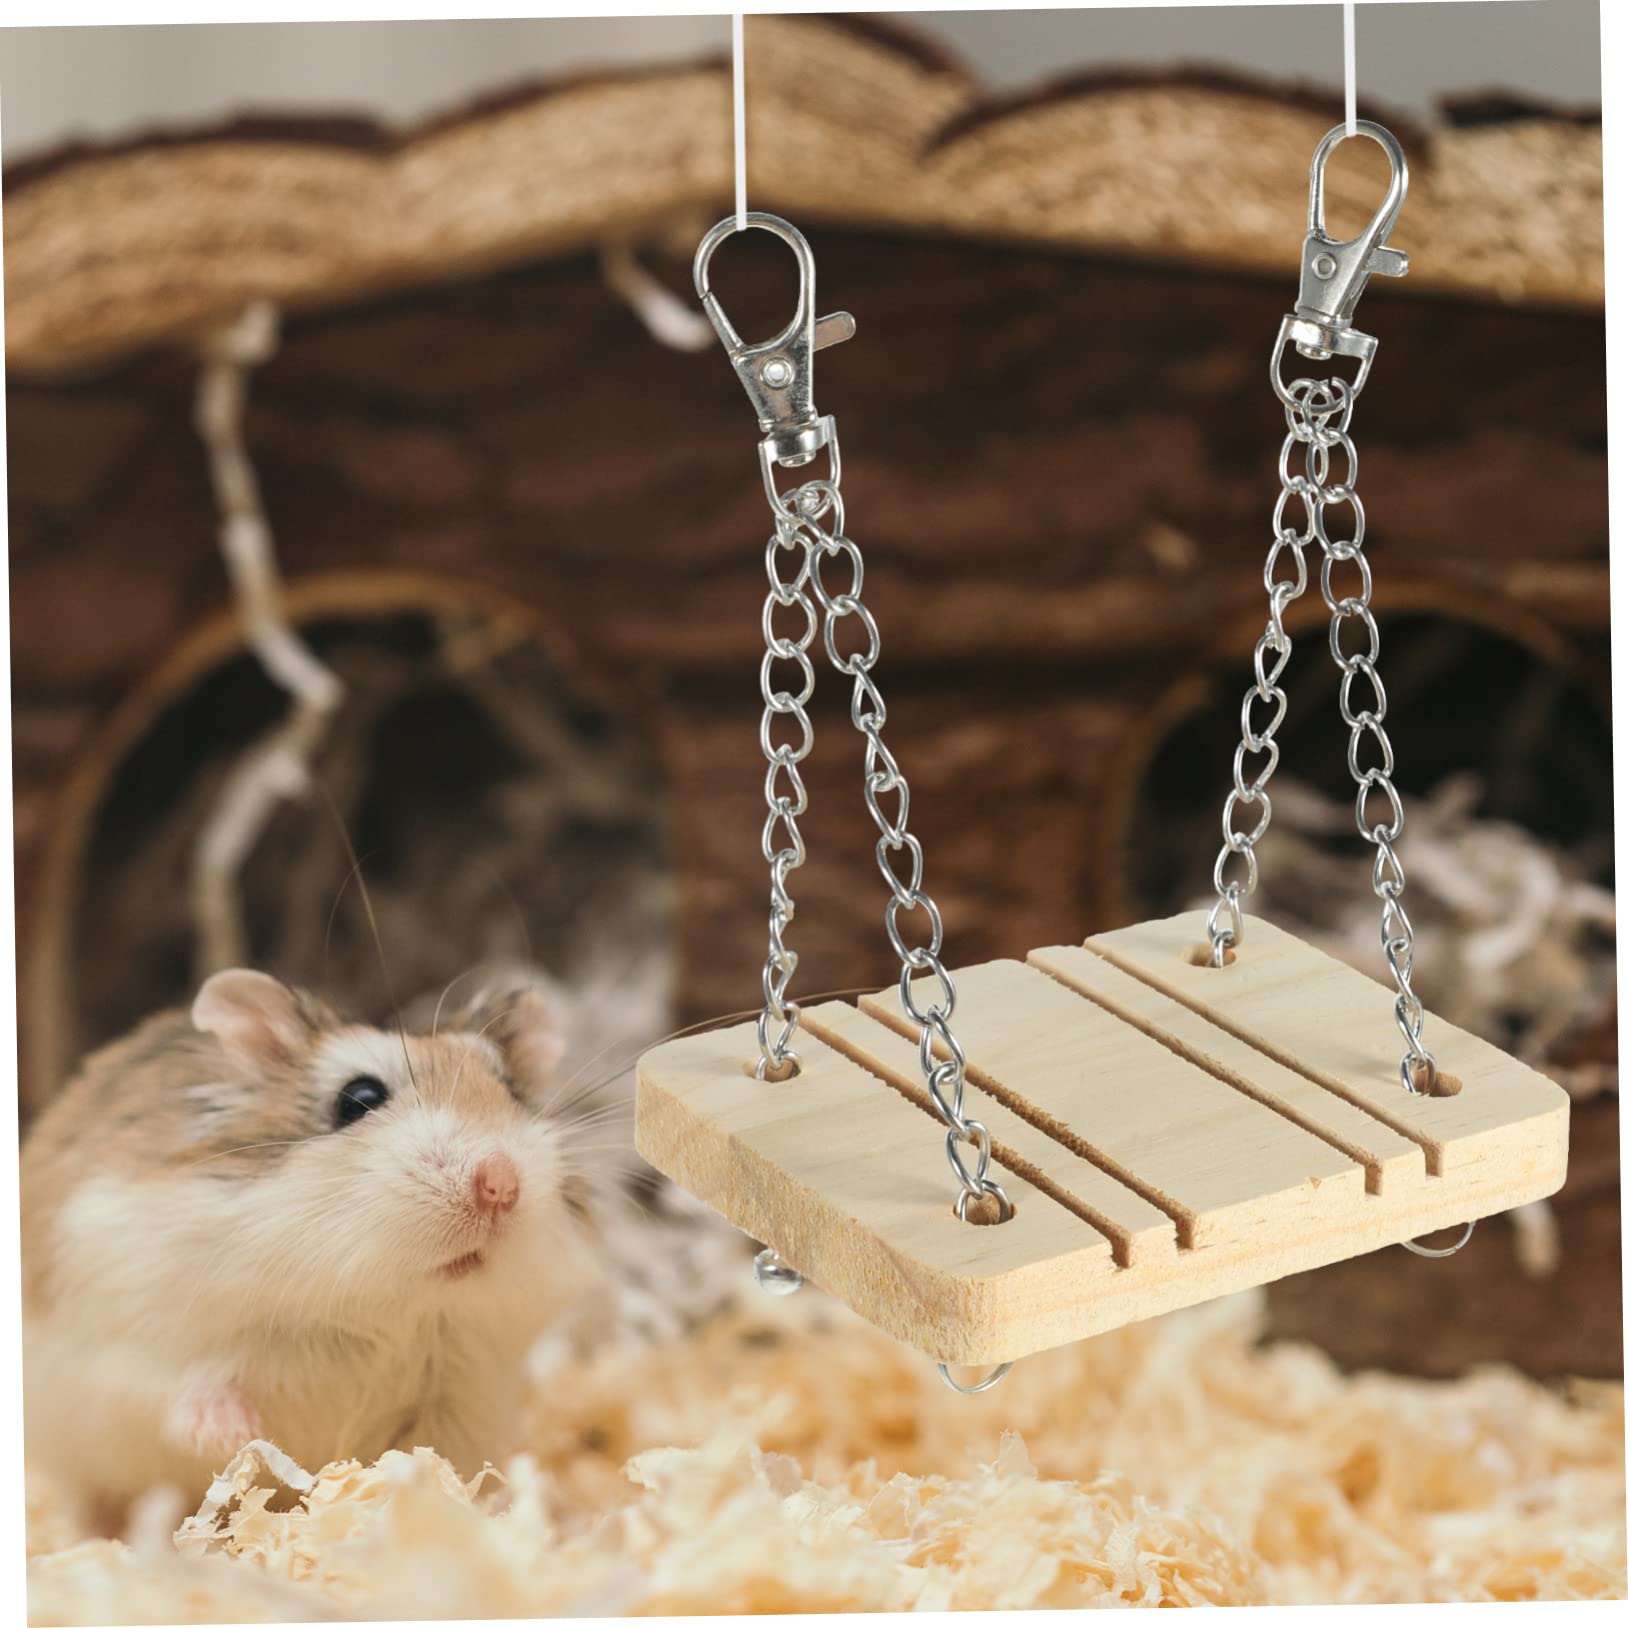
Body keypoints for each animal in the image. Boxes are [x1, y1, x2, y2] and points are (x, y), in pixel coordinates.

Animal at [21, 967, 614, 1526]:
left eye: (511, 1092)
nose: (500, 1184)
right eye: (359, 1099)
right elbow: (185, 1388)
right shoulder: (135, 1337)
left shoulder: (459, 1400)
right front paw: (233, 1437)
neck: (386, 1308)